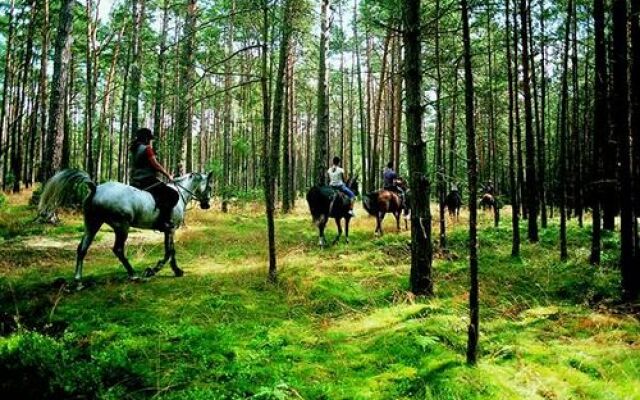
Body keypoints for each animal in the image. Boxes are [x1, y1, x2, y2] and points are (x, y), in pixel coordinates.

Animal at [37, 168, 212, 284]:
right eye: (209, 187)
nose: (206, 205)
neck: (180, 194)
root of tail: (95, 188)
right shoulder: (171, 229)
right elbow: (170, 252)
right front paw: (153, 270)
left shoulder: (168, 231)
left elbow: (171, 251)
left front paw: (176, 270)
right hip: (122, 226)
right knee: (118, 249)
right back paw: (133, 274)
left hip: (93, 224)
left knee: (82, 248)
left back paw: (78, 279)